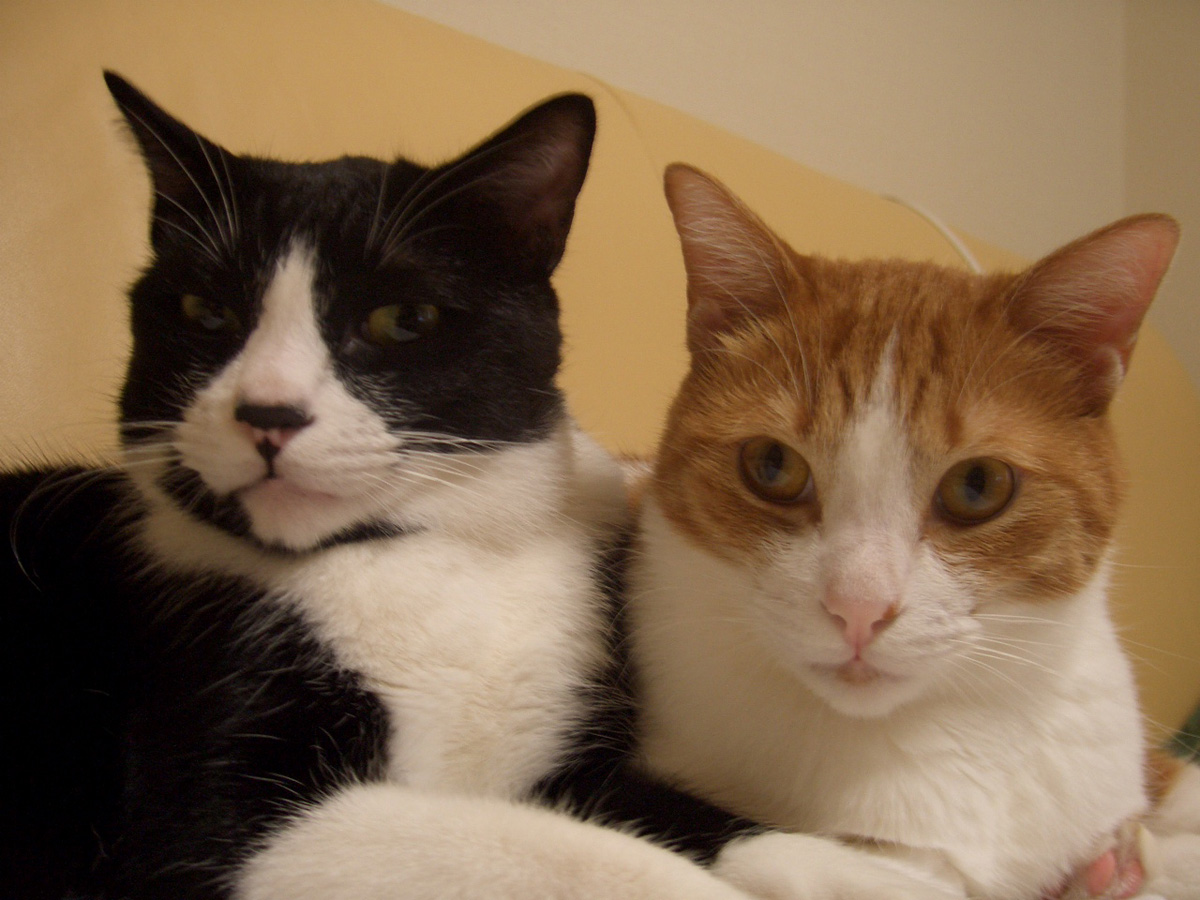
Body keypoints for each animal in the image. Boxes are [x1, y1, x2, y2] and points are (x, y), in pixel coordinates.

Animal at [0, 74, 833, 900]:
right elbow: (571, 854)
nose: (267, 413)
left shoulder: (578, 760)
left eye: (403, 318)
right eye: (205, 311)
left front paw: (848, 868)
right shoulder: (210, 820)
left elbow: (701, 820)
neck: (434, 549)